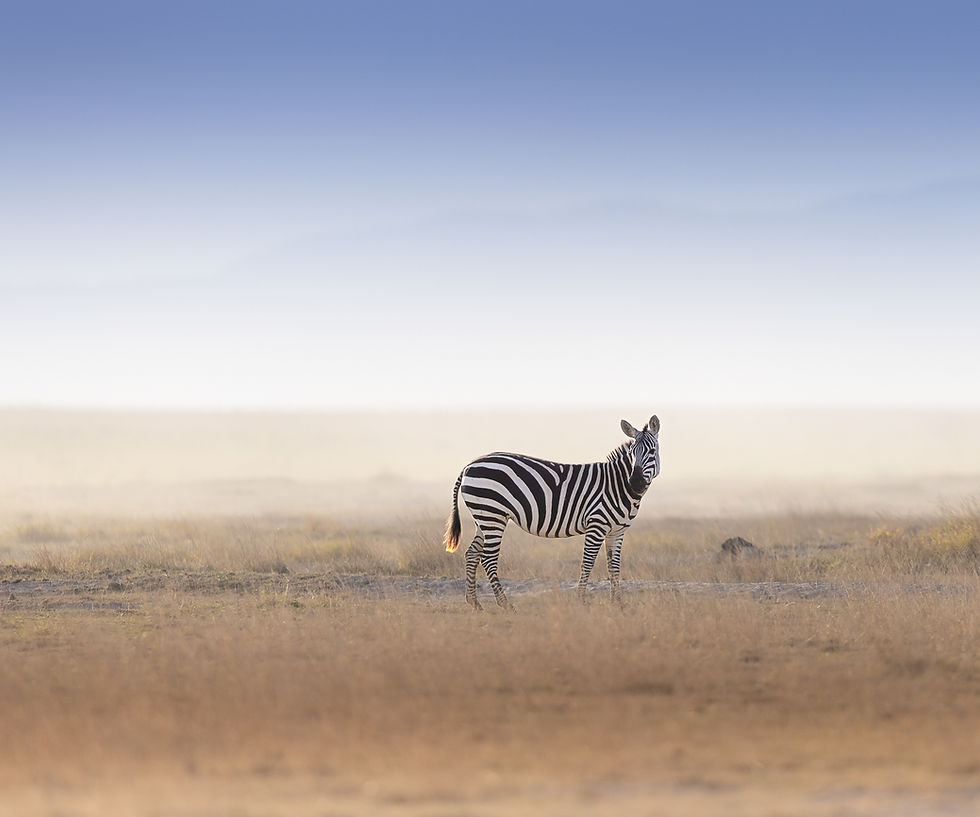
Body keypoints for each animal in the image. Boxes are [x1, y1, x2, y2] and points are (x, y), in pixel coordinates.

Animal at [444, 415, 660, 609]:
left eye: (651, 451)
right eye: (632, 453)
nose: (635, 483)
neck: (617, 484)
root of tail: (469, 465)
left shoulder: (617, 531)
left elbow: (614, 566)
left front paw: (618, 603)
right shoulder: (596, 525)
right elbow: (588, 562)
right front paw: (580, 601)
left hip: (484, 517)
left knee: (472, 553)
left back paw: (474, 602)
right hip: (493, 515)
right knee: (488, 558)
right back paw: (505, 604)